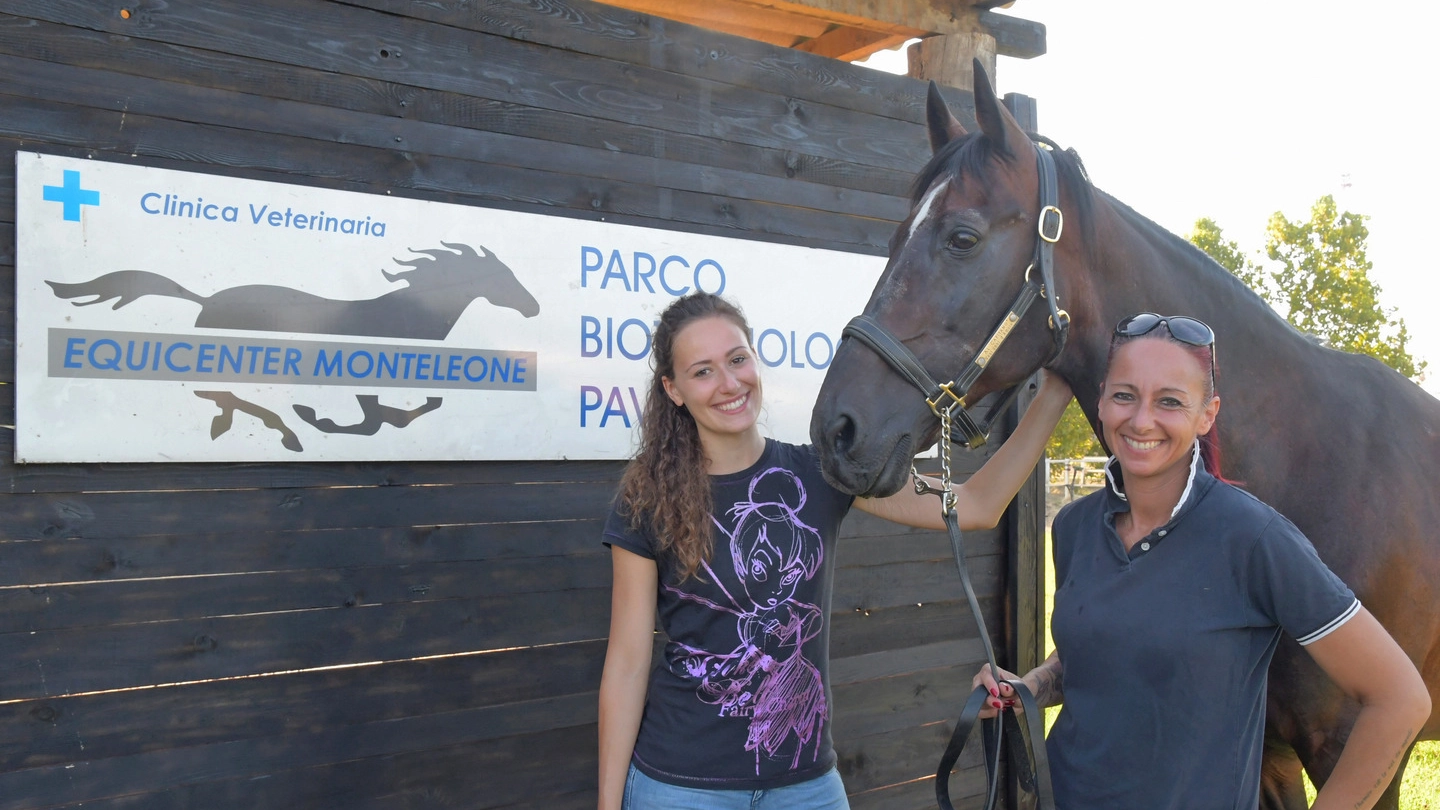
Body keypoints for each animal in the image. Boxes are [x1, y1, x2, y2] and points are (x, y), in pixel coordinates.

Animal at [817, 64, 1434, 807]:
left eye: (962, 237)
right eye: (893, 238)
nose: (836, 428)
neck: (1312, 462)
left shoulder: (1359, 750)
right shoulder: (1269, 756)